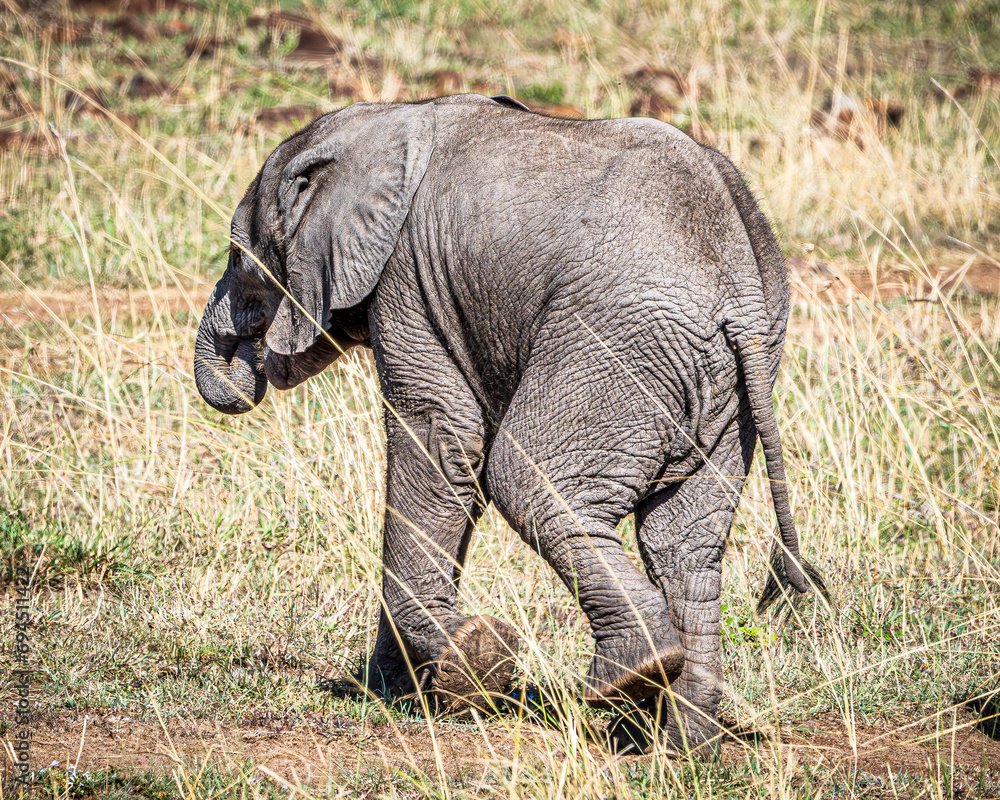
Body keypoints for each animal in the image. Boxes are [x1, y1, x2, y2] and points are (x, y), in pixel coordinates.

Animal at [193, 95, 820, 756]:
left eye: (238, 256)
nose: (252, 364)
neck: (387, 120)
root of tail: (740, 293)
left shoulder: (407, 281)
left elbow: (440, 436)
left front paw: (466, 666)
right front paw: (397, 688)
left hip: (617, 347)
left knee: (528, 480)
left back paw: (630, 678)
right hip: (724, 387)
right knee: (685, 540)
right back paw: (677, 747)